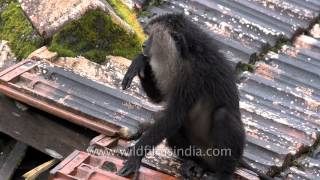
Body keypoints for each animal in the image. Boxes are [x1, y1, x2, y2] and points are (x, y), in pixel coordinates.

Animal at [117, 14, 272, 180]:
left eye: (152, 37)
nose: (144, 45)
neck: (185, 54)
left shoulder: (194, 75)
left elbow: (173, 116)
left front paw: (135, 156)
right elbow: (160, 100)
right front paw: (141, 62)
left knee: (223, 115)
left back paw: (222, 174)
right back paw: (196, 163)